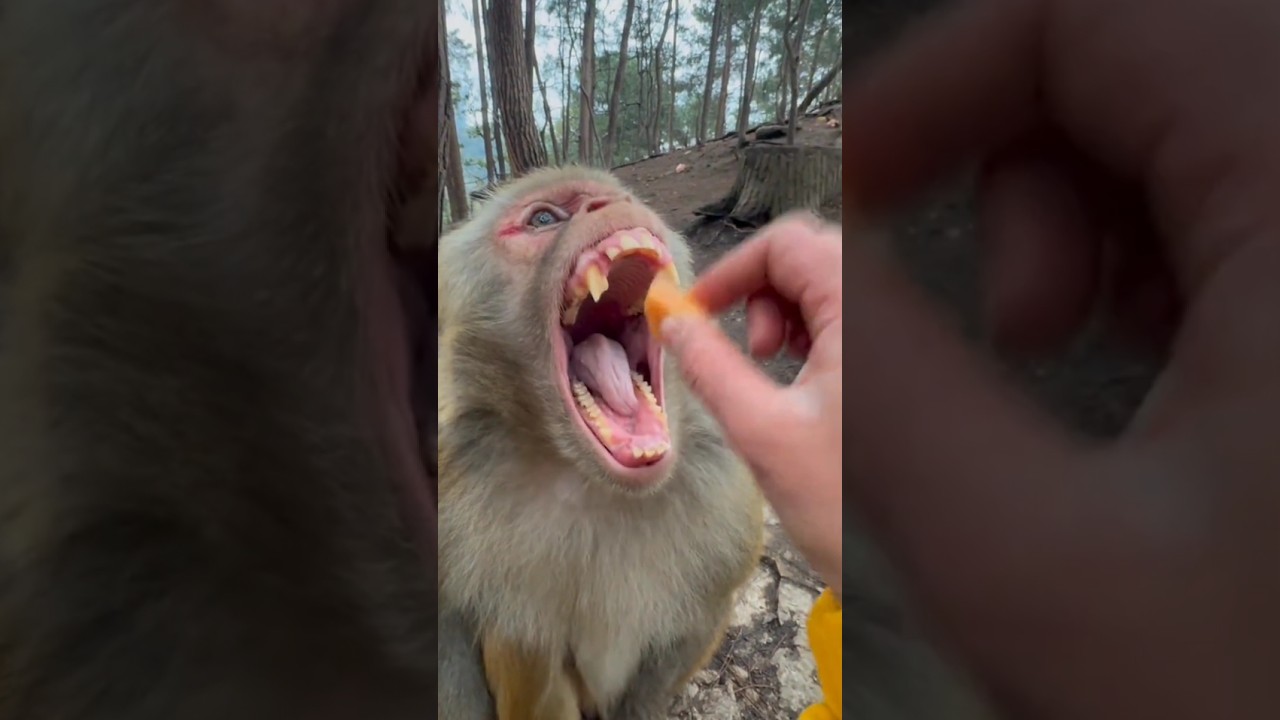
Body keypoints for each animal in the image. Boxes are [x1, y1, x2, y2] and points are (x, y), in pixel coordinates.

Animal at [436, 166, 766, 720]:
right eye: (543, 219)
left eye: (619, 197)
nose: (605, 206)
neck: (591, 479)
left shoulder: (721, 491)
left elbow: (696, 622)